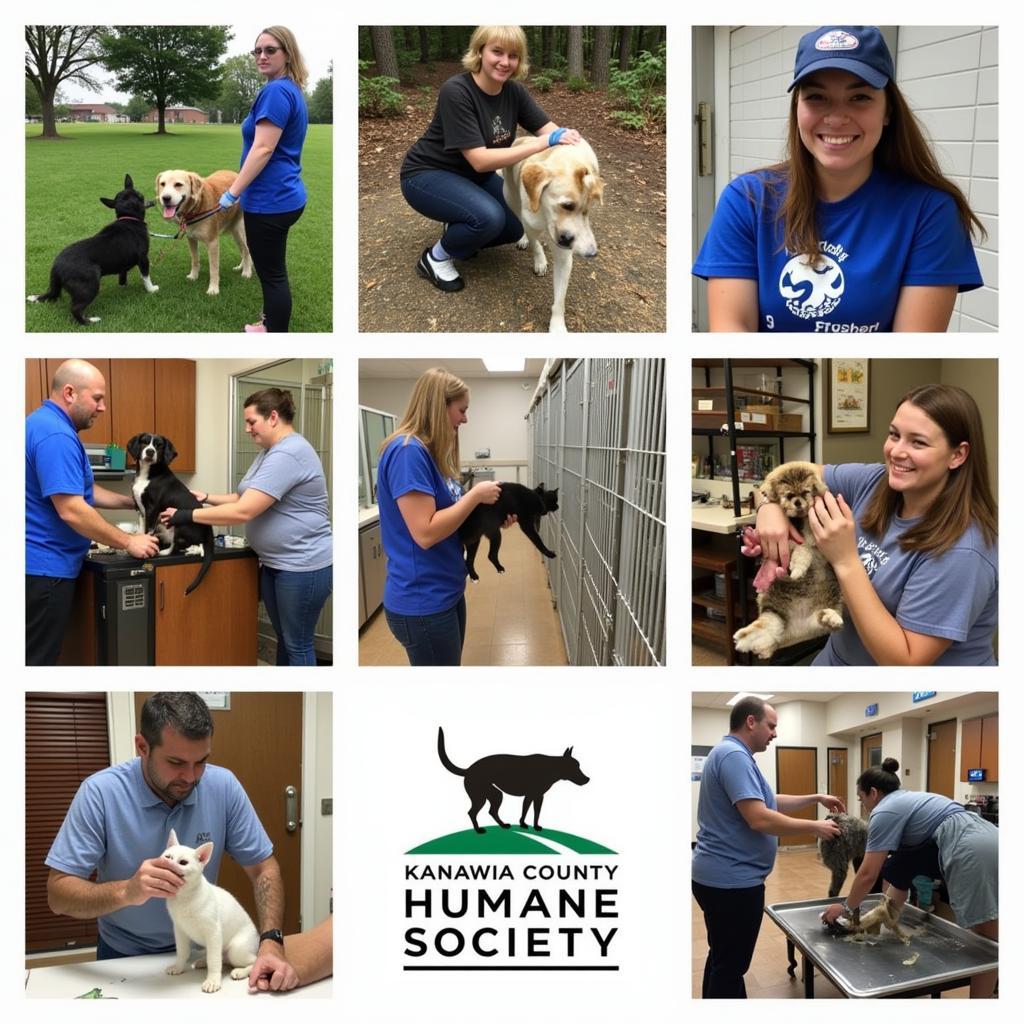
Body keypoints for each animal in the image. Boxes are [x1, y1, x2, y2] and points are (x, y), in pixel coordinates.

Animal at [27, 172, 157, 323]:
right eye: (140, 196)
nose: (152, 201)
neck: (128, 218)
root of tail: (56, 267)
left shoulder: (123, 264)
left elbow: (122, 275)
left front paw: (123, 287)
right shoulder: (143, 259)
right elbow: (146, 277)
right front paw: (151, 289)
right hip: (90, 284)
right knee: (75, 309)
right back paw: (91, 320)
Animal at [126, 430, 212, 593]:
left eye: (159, 445)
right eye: (144, 442)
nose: (150, 451)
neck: (148, 474)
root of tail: (207, 529)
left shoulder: (152, 509)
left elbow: (148, 531)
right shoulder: (140, 508)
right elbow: (141, 529)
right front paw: (139, 544)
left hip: (180, 522)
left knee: (182, 545)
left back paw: (166, 552)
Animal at [436, 729, 589, 831]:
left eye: (579, 766)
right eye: (575, 768)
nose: (587, 779)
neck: (551, 767)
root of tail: (468, 769)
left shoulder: (535, 797)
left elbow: (532, 812)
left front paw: (530, 825)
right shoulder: (533, 796)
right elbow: (529, 812)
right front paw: (527, 825)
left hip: (495, 794)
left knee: (491, 811)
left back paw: (503, 825)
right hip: (482, 796)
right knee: (472, 812)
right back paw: (478, 830)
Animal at [499, 136, 602, 333]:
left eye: (587, 210)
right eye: (567, 205)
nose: (592, 253)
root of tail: (521, 138)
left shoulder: (564, 257)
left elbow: (559, 301)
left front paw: (557, 326)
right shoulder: (530, 223)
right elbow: (534, 243)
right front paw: (540, 261)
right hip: (510, 196)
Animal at [733, 462, 843, 659]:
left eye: (806, 492)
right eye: (789, 495)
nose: (798, 502)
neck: (799, 520)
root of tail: (795, 630)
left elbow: (805, 548)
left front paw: (798, 569)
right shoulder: (789, 542)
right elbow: (802, 548)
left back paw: (830, 618)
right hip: (774, 611)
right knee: (768, 627)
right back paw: (745, 637)